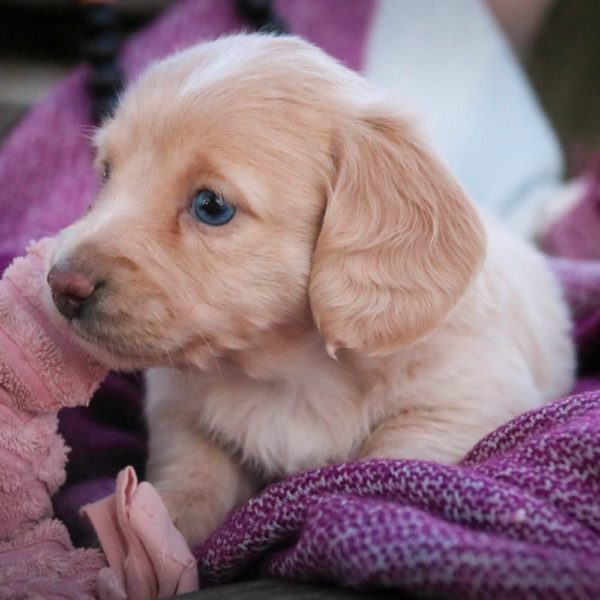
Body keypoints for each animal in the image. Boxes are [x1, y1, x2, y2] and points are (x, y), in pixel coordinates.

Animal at [45, 35, 572, 548]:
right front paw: (153, 531)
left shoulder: (463, 405)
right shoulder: (179, 410)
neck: (290, 375)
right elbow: (193, 472)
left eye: (211, 206)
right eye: (107, 173)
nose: (60, 285)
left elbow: (389, 464)